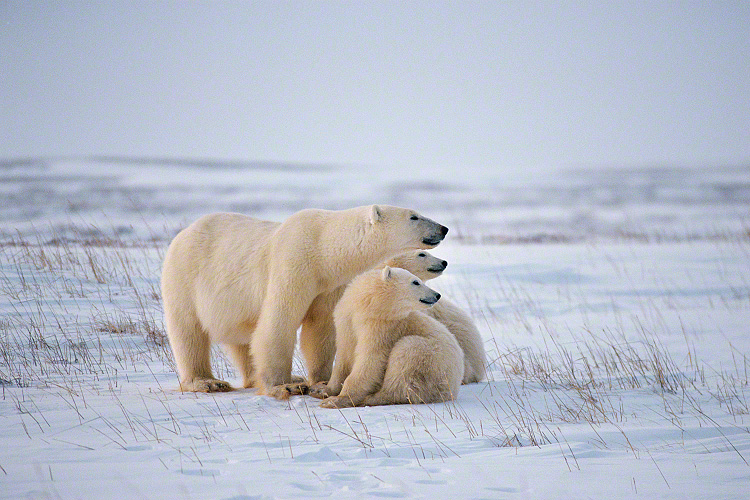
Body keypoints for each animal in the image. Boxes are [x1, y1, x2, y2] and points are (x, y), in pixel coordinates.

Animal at [162, 205, 450, 400]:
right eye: (414, 216)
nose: (443, 228)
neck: (322, 247)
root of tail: (183, 232)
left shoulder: (329, 284)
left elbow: (320, 329)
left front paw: (320, 382)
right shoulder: (293, 263)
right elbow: (279, 321)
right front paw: (285, 385)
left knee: (242, 339)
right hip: (184, 278)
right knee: (188, 332)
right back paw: (206, 382)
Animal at [314, 268, 462, 408]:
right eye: (416, 282)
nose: (437, 295)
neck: (365, 306)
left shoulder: (383, 328)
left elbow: (371, 359)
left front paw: (335, 400)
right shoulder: (346, 321)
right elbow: (344, 356)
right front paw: (322, 390)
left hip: (432, 363)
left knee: (404, 363)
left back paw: (371, 398)